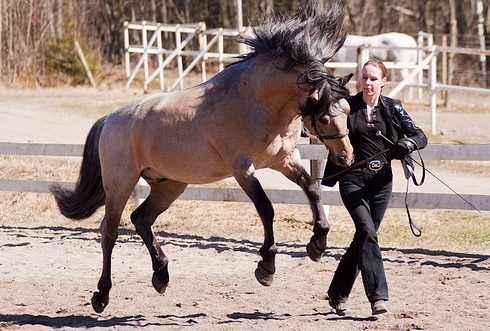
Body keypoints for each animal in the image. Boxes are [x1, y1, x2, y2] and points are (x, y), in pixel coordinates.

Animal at [49, 0, 354, 314]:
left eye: (347, 110)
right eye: (325, 118)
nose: (346, 158)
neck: (257, 101)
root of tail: (109, 119)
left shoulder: (284, 160)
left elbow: (312, 188)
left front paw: (317, 244)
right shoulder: (243, 169)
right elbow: (266, 208)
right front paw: (266, 266)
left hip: (170, 185)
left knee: (141, 218)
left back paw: (161, 275)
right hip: (120, 184)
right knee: (109, 232)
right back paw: (102, 294)